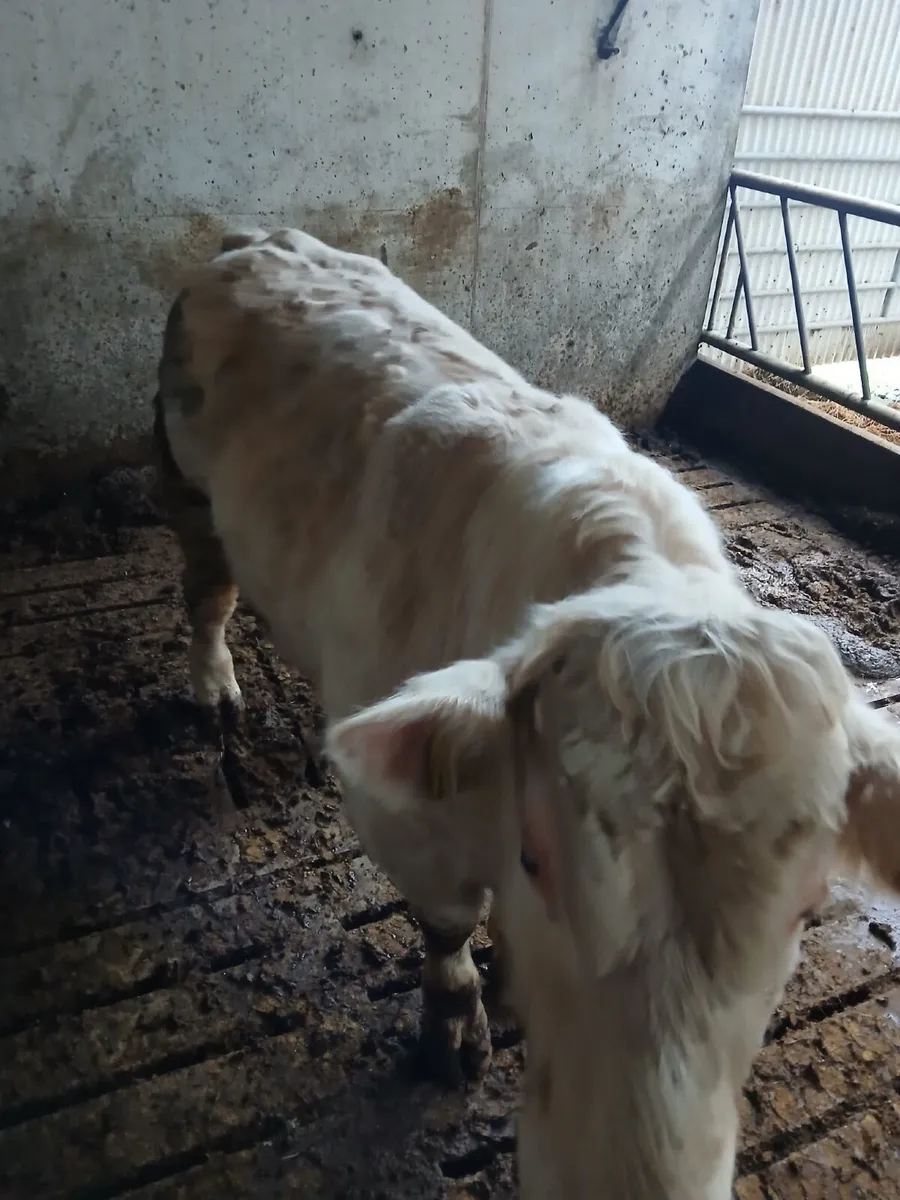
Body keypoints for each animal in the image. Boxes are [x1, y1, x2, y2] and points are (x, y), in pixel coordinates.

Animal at [151, 226, 900, 1199]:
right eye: (539, 859)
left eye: (811, 908)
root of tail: (259, 237)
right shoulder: (406, 824)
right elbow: (444, 926)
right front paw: (456, 1031)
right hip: (184, 478)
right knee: (208, 589)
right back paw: (213, 692)